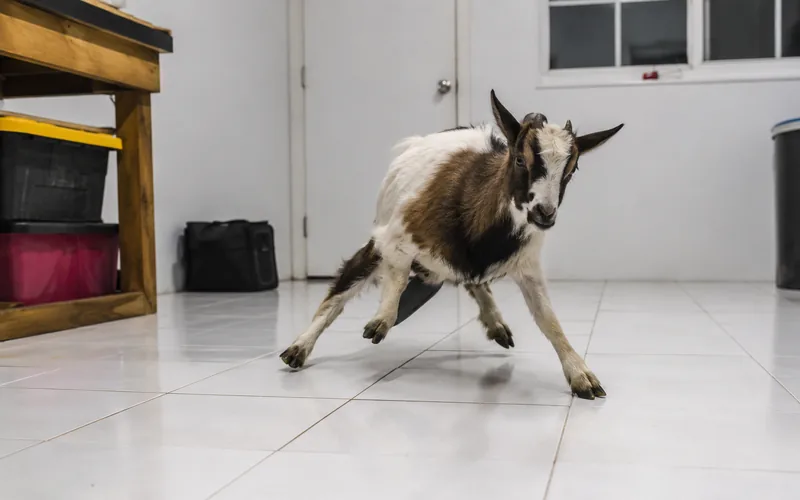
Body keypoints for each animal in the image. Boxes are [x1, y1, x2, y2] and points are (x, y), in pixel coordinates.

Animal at [280, 90, 623, 400]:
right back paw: (297, 349)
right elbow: (395, 277)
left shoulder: (527, 266)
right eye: (519, 159)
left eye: (571, 169)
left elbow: (549, 320)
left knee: (473, 283)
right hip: (378, 240)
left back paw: (496, 324)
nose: (544, 213)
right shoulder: (395, 237)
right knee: (343, 286)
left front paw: (582, 377)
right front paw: (381, 321)